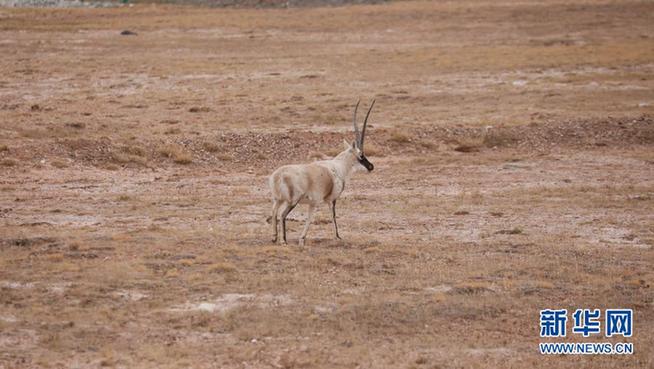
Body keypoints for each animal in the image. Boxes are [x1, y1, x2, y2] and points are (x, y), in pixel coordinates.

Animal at [270, 99, 376, 246]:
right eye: (361, 155)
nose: (371, 166)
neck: (339, 167)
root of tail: (278, 176)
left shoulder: (313, 203)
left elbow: (309, 218)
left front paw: (302, 238)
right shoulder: (332, 199)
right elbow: (332, 215)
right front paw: (337, 236)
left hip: (278, 199)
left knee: (274, 212)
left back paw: (274, 237)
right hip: (292, 201)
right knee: (282, 214)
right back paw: (283, 240)